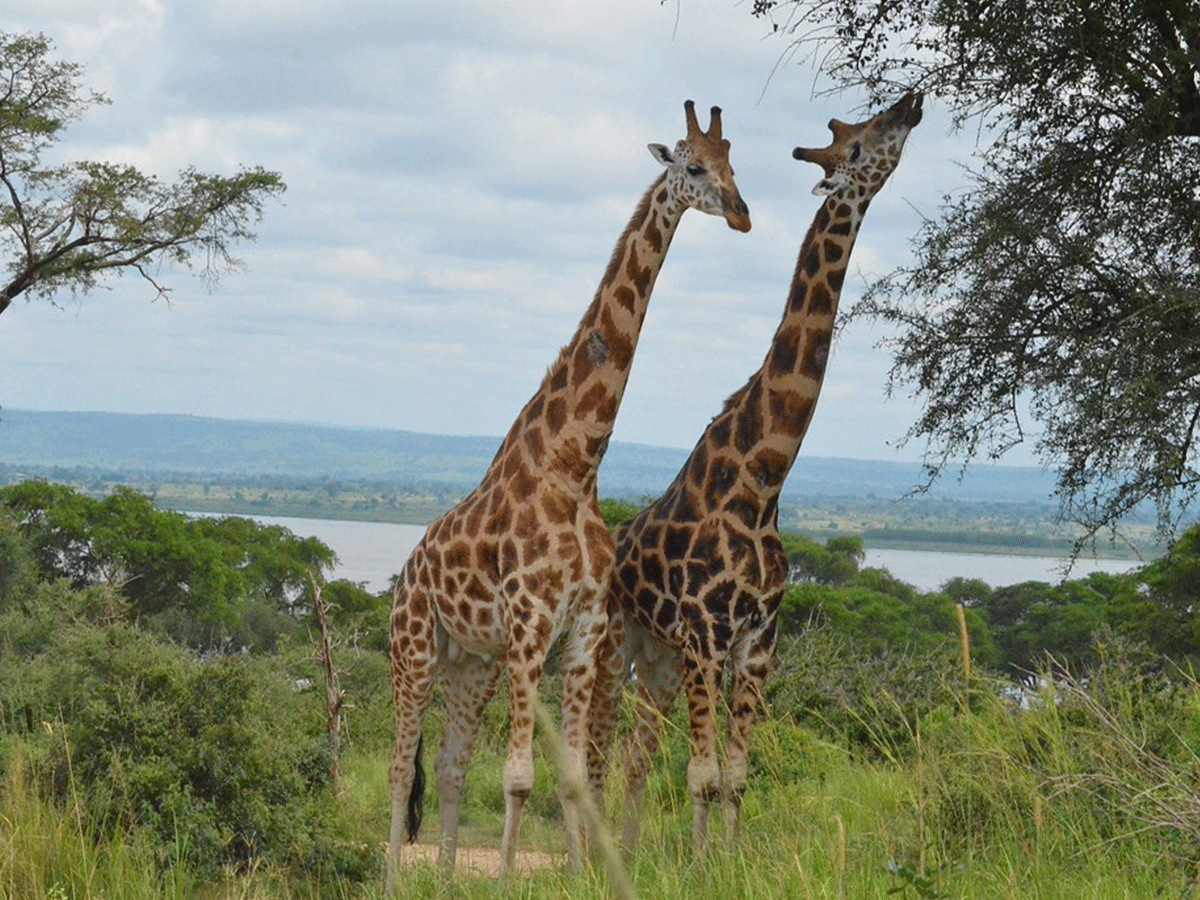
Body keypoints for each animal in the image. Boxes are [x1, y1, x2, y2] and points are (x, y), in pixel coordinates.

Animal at [381, 100, 748, 888]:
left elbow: (575, 775)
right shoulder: (529, 625)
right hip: (414, 649)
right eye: (693, 166)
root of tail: (405, 573)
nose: (740, 213)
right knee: (400, 769)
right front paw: (507, 884)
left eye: (735, 164)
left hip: (471, 663)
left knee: (450, 766)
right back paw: (394, 881)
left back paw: (447, 878)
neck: (576, 464)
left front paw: (581, 876)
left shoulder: (580, 632)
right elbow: (520, 776)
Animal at [585, 93, 921, 859]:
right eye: (858, 144)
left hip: (659, 655)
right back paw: (592, 856)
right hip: (621, 644)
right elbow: (703, 775)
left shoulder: (757, 640)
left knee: (637, 752)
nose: (912, 104)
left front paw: (725, 863)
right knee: (603, 748)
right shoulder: (707, 634)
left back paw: (627, 851)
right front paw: (699, 866)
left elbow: (736, 777)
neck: (764, 482)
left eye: (870, 129)